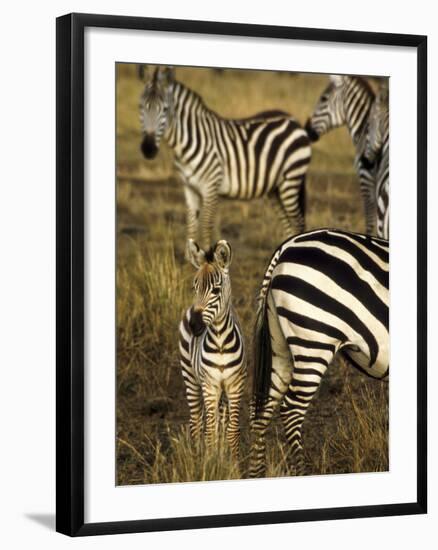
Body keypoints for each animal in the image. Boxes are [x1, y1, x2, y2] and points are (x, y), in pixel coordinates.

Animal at [139, 65, 314, 252]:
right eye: (140, 107)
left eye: (165, 109)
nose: (148, 149)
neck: (190, 141)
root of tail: (293, 119)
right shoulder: (189, 188)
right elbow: (191, 229)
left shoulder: (211, 187)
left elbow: (206, 227)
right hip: (275, 189)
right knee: (288, 225)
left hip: (291, 180)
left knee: (297, 223)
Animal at [179, 239, 246, 460]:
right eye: (194, 288)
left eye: (216, 291)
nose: (194, 325)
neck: (220, 342)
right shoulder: (209, 385)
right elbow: (209, 430)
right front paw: (209, 461)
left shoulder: (235, 385)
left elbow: (231, 429)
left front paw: (232, 462)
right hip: (190, 376)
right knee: (196, 420)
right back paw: (197, 454)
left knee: (220, 419)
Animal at [248, 229, 388, 478]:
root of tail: (286, 247)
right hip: (315, 341)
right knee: (292, 409)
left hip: (280, 346)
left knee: (262, 407)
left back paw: (257, 473)